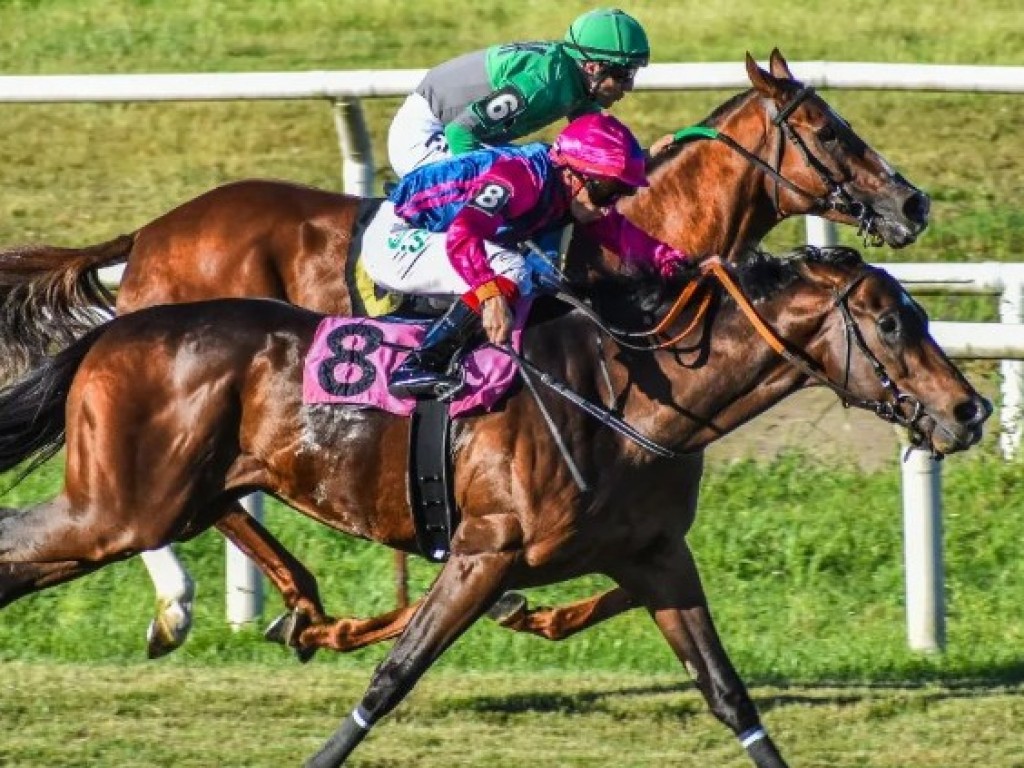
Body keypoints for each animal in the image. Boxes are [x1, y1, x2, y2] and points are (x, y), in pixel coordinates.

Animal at [0, 49, 933, 655]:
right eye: (826, 128)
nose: (912, 204)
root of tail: (153, 231)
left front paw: (516, 609)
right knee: (189, 507)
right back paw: (211, 608)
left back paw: (290, 609)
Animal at [0, 247, 991, 768]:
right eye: (894, 323)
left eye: (921, 316)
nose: (969, 409)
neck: (628, 395)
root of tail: (112, 332)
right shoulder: (486, 552)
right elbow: (392, 677)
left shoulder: (657, 557)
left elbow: (727, 691)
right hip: (122, 507)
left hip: (159, 500)